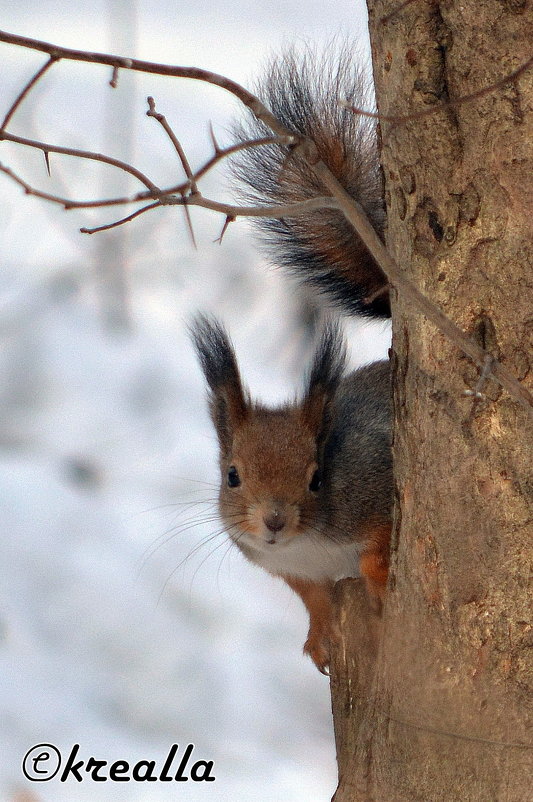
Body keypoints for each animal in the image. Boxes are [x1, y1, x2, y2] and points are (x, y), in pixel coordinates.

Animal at [191, 42, 390, 668]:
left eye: (317, 476)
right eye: (232, 476)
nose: (274, 522)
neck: (305, 545)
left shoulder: (376, 490)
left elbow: (378, 548)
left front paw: (377, 581)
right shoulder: (287, 569)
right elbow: (313, 599)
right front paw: (320, 638)